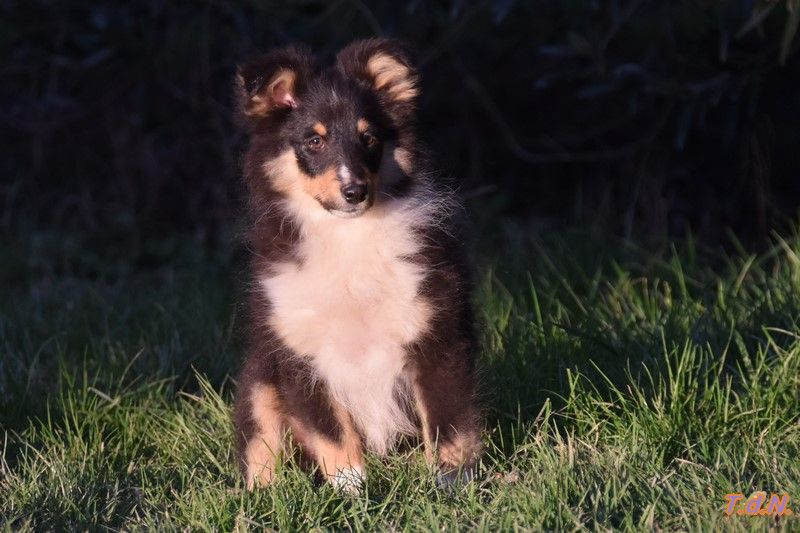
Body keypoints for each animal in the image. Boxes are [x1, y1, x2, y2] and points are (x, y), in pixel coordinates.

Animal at [233, 37, 482, 490]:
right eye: (314, 142)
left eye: (369, 138)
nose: (355, 192)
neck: (347, 235)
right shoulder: (301, 352)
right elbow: (331, 433)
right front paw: (352, 492)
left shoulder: (436, 333)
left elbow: (449, 424)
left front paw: (451, 487)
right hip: (260, 376)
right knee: (261, 442)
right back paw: (265, 494)